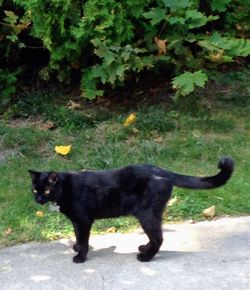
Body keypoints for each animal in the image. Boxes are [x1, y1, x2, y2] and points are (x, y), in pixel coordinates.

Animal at [29, 157, 234, 264]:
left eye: (46, 190)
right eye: (35, 190)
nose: (38, 199)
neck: (64, 188)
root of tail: (163, 171)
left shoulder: (83, 220)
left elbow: (83, 239)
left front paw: (80, 256)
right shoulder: (76, 222)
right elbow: (78, 237)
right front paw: (77, 247)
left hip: (147, 214)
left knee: (159, 238)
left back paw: (145, 257)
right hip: (150, 215)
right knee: (155, 236)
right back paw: (144, 249)